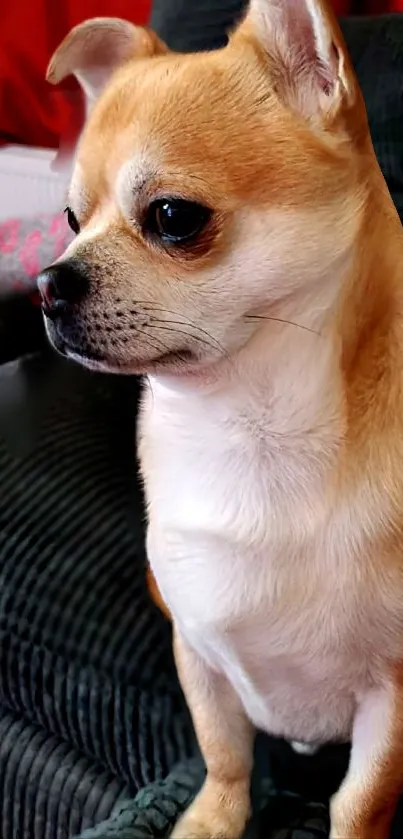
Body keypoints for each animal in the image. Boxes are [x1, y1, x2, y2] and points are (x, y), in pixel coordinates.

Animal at [38, 1, 403, 839]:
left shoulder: (392, 695)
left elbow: (359, 800)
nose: (46, 282)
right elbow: (222, 751)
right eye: (70, 217)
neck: (247, 427)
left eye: (173, 217)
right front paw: (210, 818)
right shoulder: (196, 648)